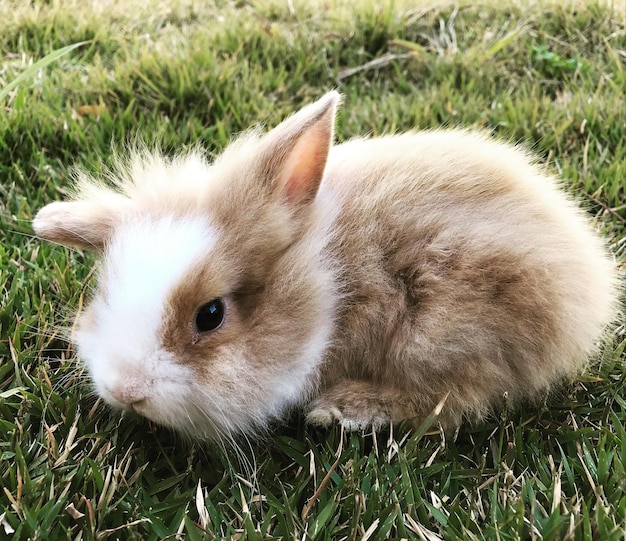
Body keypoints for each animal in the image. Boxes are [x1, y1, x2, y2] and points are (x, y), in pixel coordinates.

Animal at [35, 92, 620, 438]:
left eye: (210, 315)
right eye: (103, 293)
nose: (124, 390)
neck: (326, 277)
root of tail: (587, 275)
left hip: (442, 331)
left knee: (453, 399)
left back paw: (342, 409)